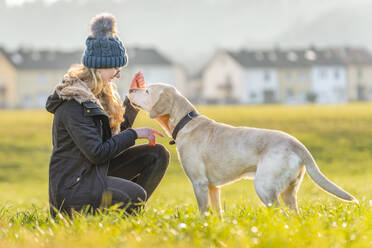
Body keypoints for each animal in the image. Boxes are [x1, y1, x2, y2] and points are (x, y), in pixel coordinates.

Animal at [128, 84, 358, 215]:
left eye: (147, 90)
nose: (130, 90)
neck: (185, 122)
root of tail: (297, 144)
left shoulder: (199, 184)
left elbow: (202, 212)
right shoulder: (213, 187)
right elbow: (217, 213)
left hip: (264, 187)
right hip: (288, 193)